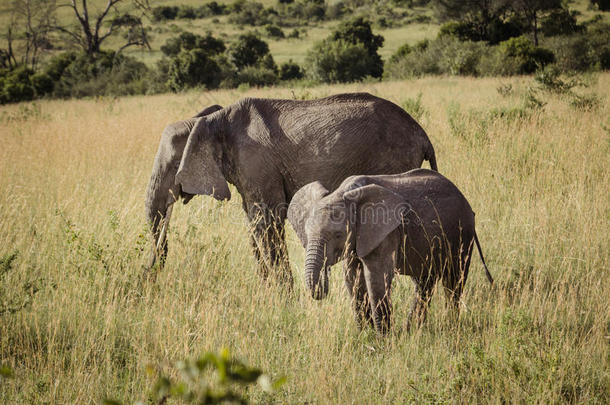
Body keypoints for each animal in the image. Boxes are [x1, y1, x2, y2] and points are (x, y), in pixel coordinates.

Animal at [145, 93, 434, 286]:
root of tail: (422, 135)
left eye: (174, 167)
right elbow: (254, 223)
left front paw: (284, 298)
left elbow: (266, 222)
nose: (151, 271)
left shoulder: (256, 163)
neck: (212, 120)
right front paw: (267, 292)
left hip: (394, 161)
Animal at [288, 167, 492, 332]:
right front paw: (366, 334)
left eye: (338, 235)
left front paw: (382, 340)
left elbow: (376, 277)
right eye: (306, 233)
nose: (323, 280)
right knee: (425, 282)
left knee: (453, 281)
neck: (344, 193)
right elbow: (353, 277)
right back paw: (412, 330)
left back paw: (450, 326)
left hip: (461, 233)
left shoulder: (385, 231)